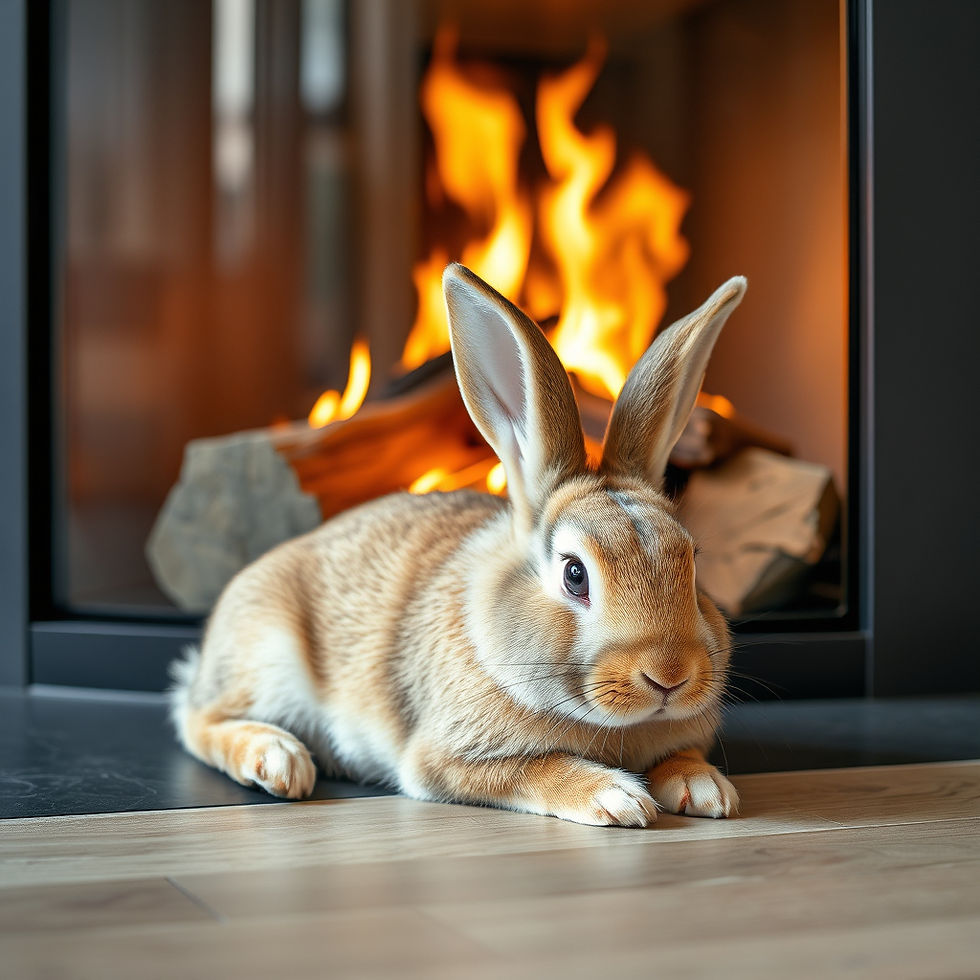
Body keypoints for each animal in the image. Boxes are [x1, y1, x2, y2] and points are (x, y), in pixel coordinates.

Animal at [170, 263, 747, 827]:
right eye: (575, 574)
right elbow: (537, 770)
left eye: (693, 562)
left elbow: (683, 755)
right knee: (197, 721)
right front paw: (615, 796)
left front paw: (706, 789)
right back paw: (279, 760)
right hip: (265, 654)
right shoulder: (447, 759)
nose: (669, 677)